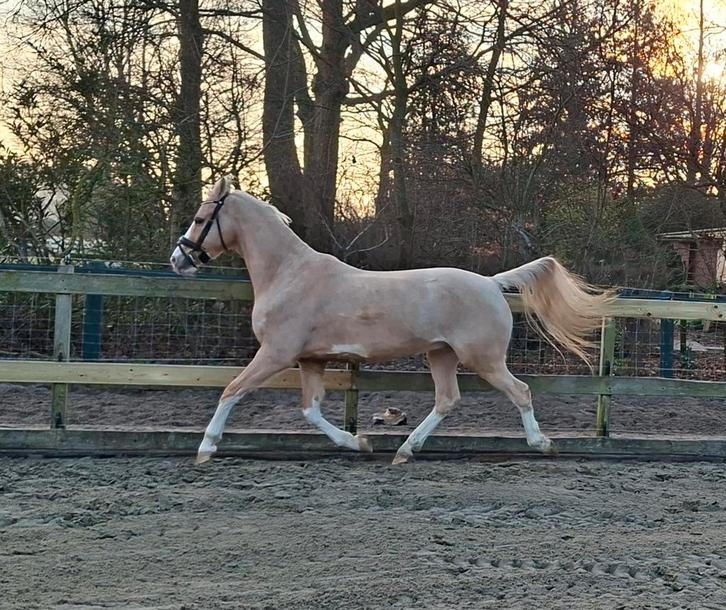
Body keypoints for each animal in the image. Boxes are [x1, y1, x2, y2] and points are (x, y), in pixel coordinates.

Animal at [170, 176, 612, 465]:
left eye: (199, 219)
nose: (179, 260)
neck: (288, 274)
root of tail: (490, 282)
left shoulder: (276, 353)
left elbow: (231, 391)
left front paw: (205, 449)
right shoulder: (310, 359)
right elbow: (311, 410)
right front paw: (358, 442)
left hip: (483, 359)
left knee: (520, 392)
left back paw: (542, 444)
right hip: (441, 355)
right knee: (447, 400)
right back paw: (404, 450)